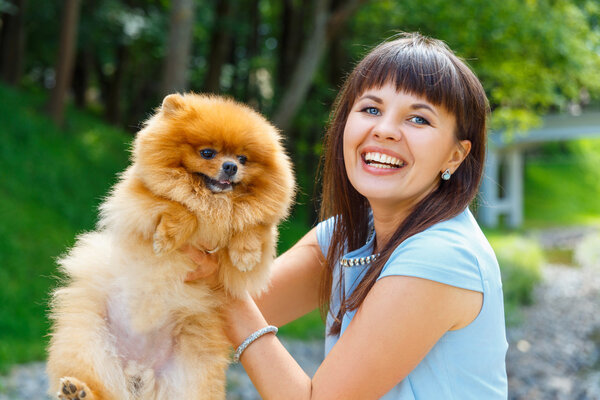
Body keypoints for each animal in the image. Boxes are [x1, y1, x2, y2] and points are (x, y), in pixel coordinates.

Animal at [47, 92, 296, 398]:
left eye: (243, 158)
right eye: (207, 153)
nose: (231, 166)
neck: (214, 202)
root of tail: (137, 370)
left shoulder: (249, 253)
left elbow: (255, 225)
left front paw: (245, 252)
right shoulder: (135, 203)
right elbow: (177, 205)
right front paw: (168, 237)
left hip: (191, 374)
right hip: (87, 340)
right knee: (100, 385)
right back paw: (78, 390)